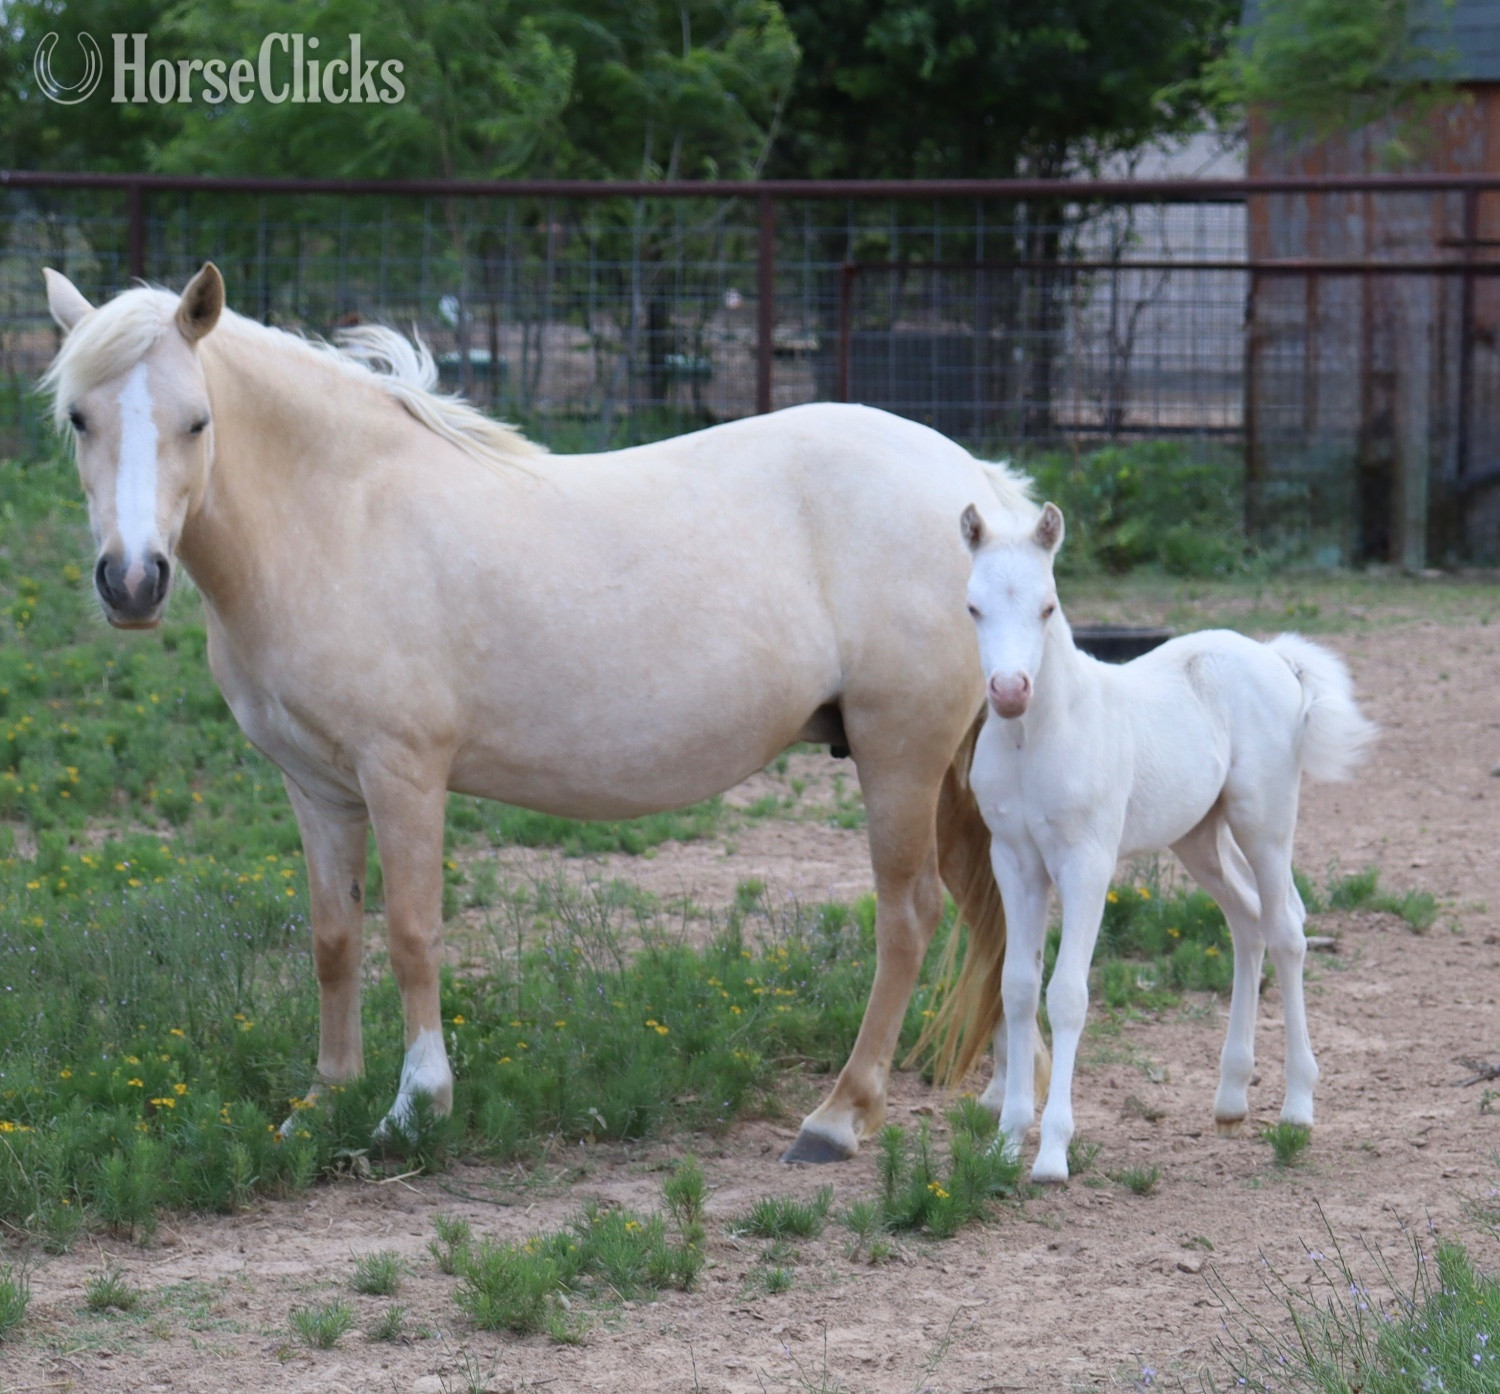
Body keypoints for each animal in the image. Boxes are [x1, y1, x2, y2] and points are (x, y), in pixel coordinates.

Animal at [40, 261, 1040, 1161]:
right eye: (79, 418)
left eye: (196, 421)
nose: (132, 583)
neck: (342, 515)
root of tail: (975, 483)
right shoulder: (318, 789)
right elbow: (334, 939)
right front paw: (324, 1102)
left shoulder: (403, 775)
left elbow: (411, 933)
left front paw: (416, 1107)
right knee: (994, 914)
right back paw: (1001, 1103)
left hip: (898, 753)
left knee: (909, 915)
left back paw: (838, 1118)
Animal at [955, 499, 1374, 1183]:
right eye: (973, 606)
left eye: (1048, 605)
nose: (1011, 690)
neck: (1034, 739)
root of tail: (1275, 660)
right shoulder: (1014, 861)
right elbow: (1016, 988)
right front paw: (1005, 1141)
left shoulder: (1087, 863)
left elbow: (1066, 995)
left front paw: (1052, 1153)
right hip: (1197, 837)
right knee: (1247, 922)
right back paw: (1231, 1098)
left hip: (1264, 822)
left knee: (1287, 929)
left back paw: (1297, 1107)